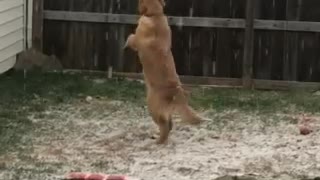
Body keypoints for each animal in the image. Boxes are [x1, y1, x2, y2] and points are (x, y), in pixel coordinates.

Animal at [124, 0, 202, 144]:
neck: (155, 15)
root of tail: (176, 92)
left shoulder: (137, 40)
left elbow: (131, 37)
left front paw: (125, 44)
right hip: (165, 112)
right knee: (169, 125)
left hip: (152, 107)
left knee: (165, 126)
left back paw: (158, 142)